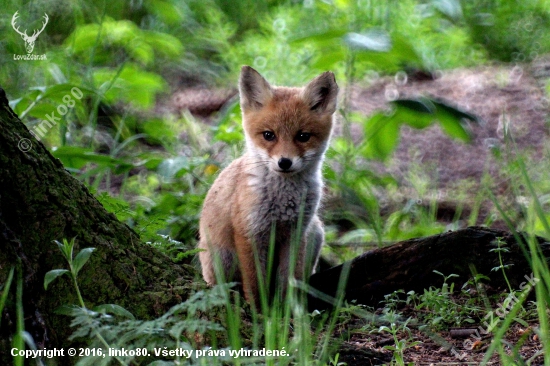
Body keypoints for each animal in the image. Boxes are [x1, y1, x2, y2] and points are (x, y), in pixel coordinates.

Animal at [196, 66, 338, 304]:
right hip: (221, 256)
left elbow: (289, 280)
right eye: (269, 135)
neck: (283, 200)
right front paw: (259, 311)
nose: (285, 162)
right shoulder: (249, 232)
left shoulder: (297, 232)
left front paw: (287, 310)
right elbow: (255, 284)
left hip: (316, 232)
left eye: (303, 136)